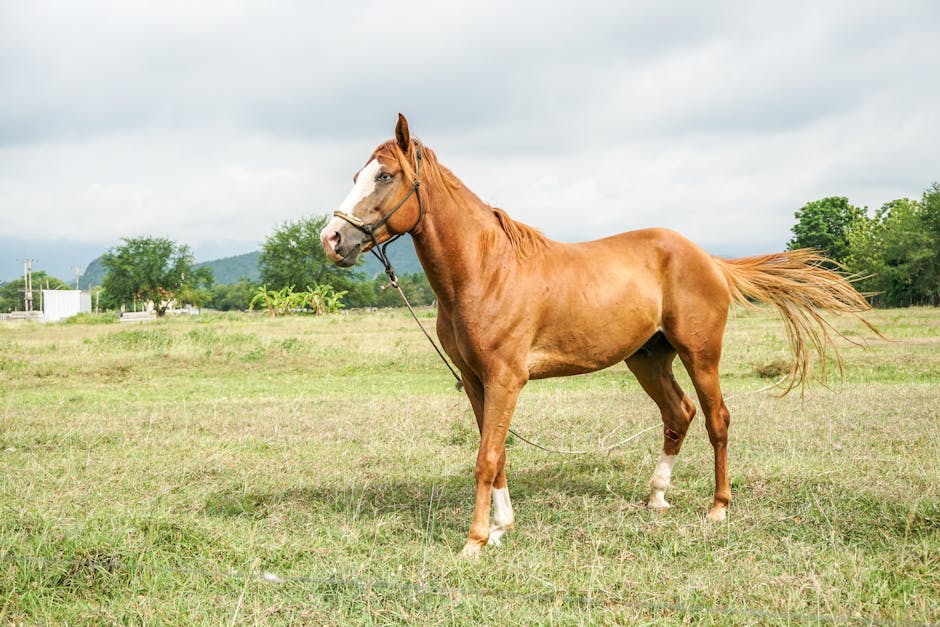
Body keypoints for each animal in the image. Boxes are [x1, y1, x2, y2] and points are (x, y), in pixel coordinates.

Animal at [320, 114, 876, 560]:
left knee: (716, 419)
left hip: (700, 356)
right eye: (357, 176)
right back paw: (657, 497)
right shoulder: (477, 382)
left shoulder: (505, 379)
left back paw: (718, 508)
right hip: (648, 359)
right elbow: (495, 456)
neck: (487, 269)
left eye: (385, 175)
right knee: (679, 415)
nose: (333, 239)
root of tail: (709, 259)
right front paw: (501, 528)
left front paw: (475, 541)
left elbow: (486, 458)